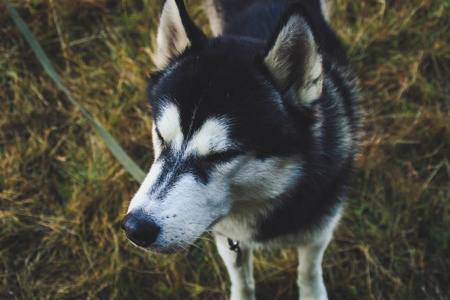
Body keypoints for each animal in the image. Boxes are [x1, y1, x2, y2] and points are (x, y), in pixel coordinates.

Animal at [121, 1, 360, 298]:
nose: (135, 228)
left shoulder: (319, 230)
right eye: (161, 136)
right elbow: (241, 278)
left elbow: (308, 270)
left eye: (222, 155)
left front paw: (312, 292)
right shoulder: (228, 237)